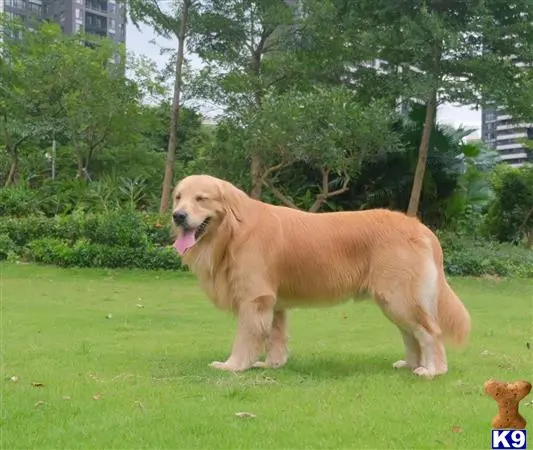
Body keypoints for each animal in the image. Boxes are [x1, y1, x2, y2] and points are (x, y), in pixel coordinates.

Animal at [170, 174, 470, 378]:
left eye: (201, 198)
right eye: (178, 197)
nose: (177, 216)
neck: (233, 231)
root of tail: (419, 227)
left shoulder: (255, 298)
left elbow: (245, 338)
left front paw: (232, 365)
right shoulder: (274, 303)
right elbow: (275, 337)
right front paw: (271, 364)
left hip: (400, 298)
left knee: (430, 333)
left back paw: (432, 370)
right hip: (393, 301)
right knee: (411, 335)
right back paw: (411, 364)